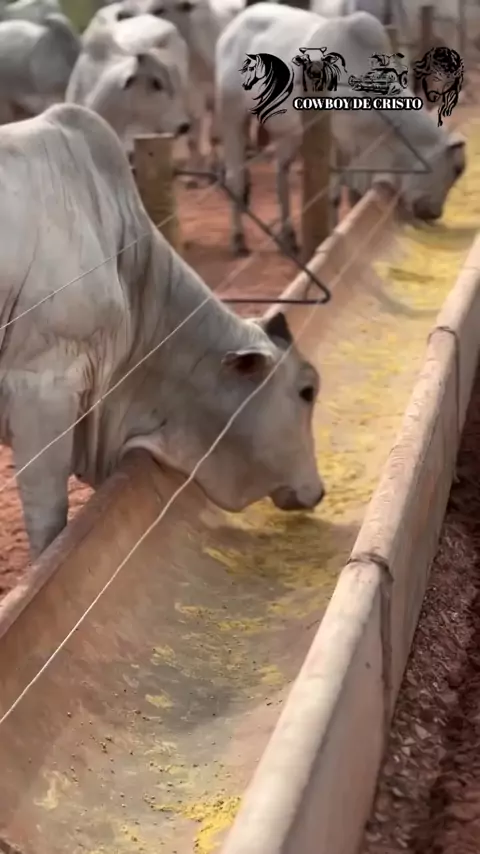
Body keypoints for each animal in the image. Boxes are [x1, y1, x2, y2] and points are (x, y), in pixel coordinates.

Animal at [215, 4, 466, 256]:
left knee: (280, 173)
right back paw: (238, 239)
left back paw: (288, 236)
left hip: (290, 133)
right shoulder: (336, 146)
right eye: (456, 169)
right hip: (232, 115)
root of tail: (235, 24)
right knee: (235, 177)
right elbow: (334, 196)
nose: (434, 213)